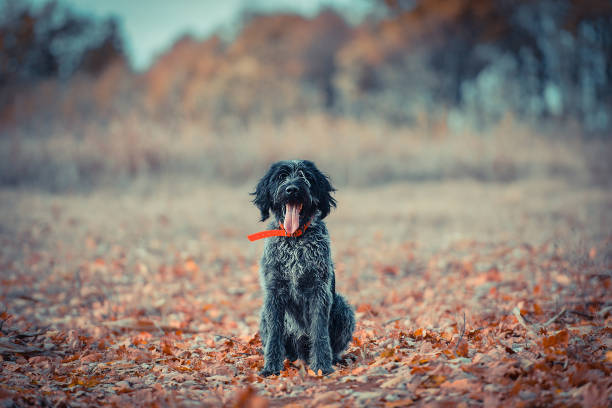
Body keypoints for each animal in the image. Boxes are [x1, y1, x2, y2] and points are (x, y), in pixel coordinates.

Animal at [249, 159, 354, 376]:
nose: (292, 189)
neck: (295, 241)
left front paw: (322, 366)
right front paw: (271, 367)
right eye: (281, 176)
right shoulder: (274, 292)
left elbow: (319, 331)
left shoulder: (319, 291)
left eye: (306, 176)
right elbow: (275, 334)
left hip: (342, 307)